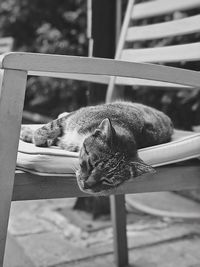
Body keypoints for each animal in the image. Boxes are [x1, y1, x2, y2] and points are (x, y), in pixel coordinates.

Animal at [20, 101, 173, 196]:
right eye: (91, 164)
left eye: (107, 181)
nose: (86, 185)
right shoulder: (72, 118)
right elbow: (49, 128)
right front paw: (36, 136)